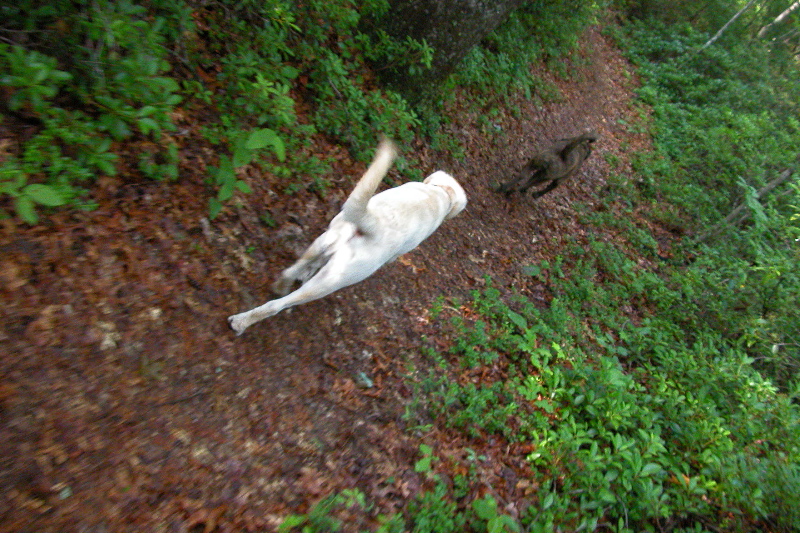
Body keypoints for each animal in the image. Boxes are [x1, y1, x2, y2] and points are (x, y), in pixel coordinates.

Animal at [228, 139, 466, 334]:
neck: (441, 193)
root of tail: (373, 224)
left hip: (325, 239)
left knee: (291, 270)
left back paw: (281, 286)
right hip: (334, 279)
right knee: (277, 305)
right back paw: (241, 322)